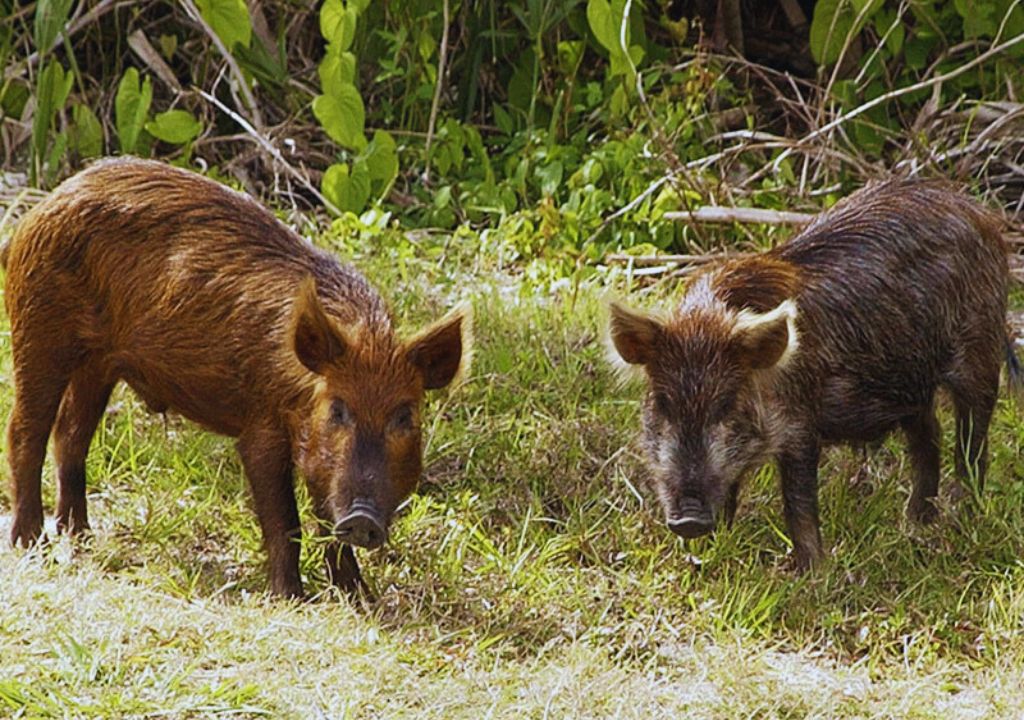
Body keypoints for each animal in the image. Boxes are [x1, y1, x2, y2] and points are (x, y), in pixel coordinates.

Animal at [3, 157, 469, 598]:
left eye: (405, 416)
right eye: (337, 410)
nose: (363, 518)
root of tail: (37, 211)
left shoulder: (320, 458)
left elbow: (326, 521)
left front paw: (360, 598)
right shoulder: (260, 428)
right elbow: (285, 520)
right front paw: (290, 598)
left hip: (98, 363)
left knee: (71, 434)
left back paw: (80, 536)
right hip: (41, 329)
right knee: (26, 430)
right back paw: (32, 544)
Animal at [608, 179, 1015, 570]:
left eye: (726, 405)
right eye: (663, 403)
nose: (689, 520)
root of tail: (981, 214)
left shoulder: (800, 425)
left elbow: (798, 500)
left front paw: (810, 571)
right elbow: (731, 491)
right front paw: (707, 554)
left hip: (979, 354)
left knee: (972, 444)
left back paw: (963, 518)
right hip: (911, 386)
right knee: (930, 435)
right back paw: (917, 521)